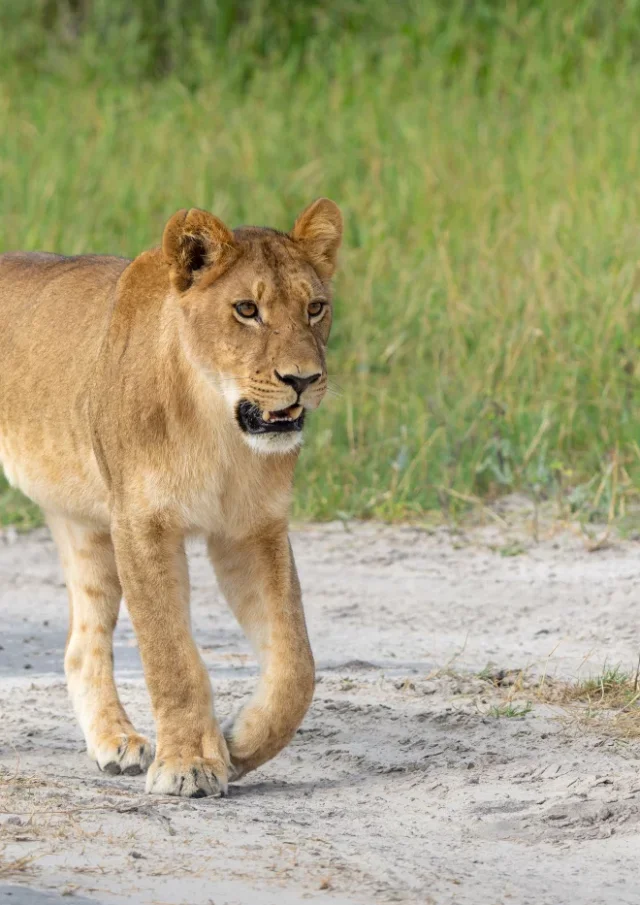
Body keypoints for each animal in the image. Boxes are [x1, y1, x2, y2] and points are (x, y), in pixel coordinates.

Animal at [0, 198, 342, 797]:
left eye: (315, 307)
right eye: (247, 309)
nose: (302, 379)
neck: (218, 429)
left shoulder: (253, 530)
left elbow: (296, 664)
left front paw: (239, 744)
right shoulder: (141, 524)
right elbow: (171, 654)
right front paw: (188, 764)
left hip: (84, 523)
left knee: (80, 647)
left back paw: (115, 741)